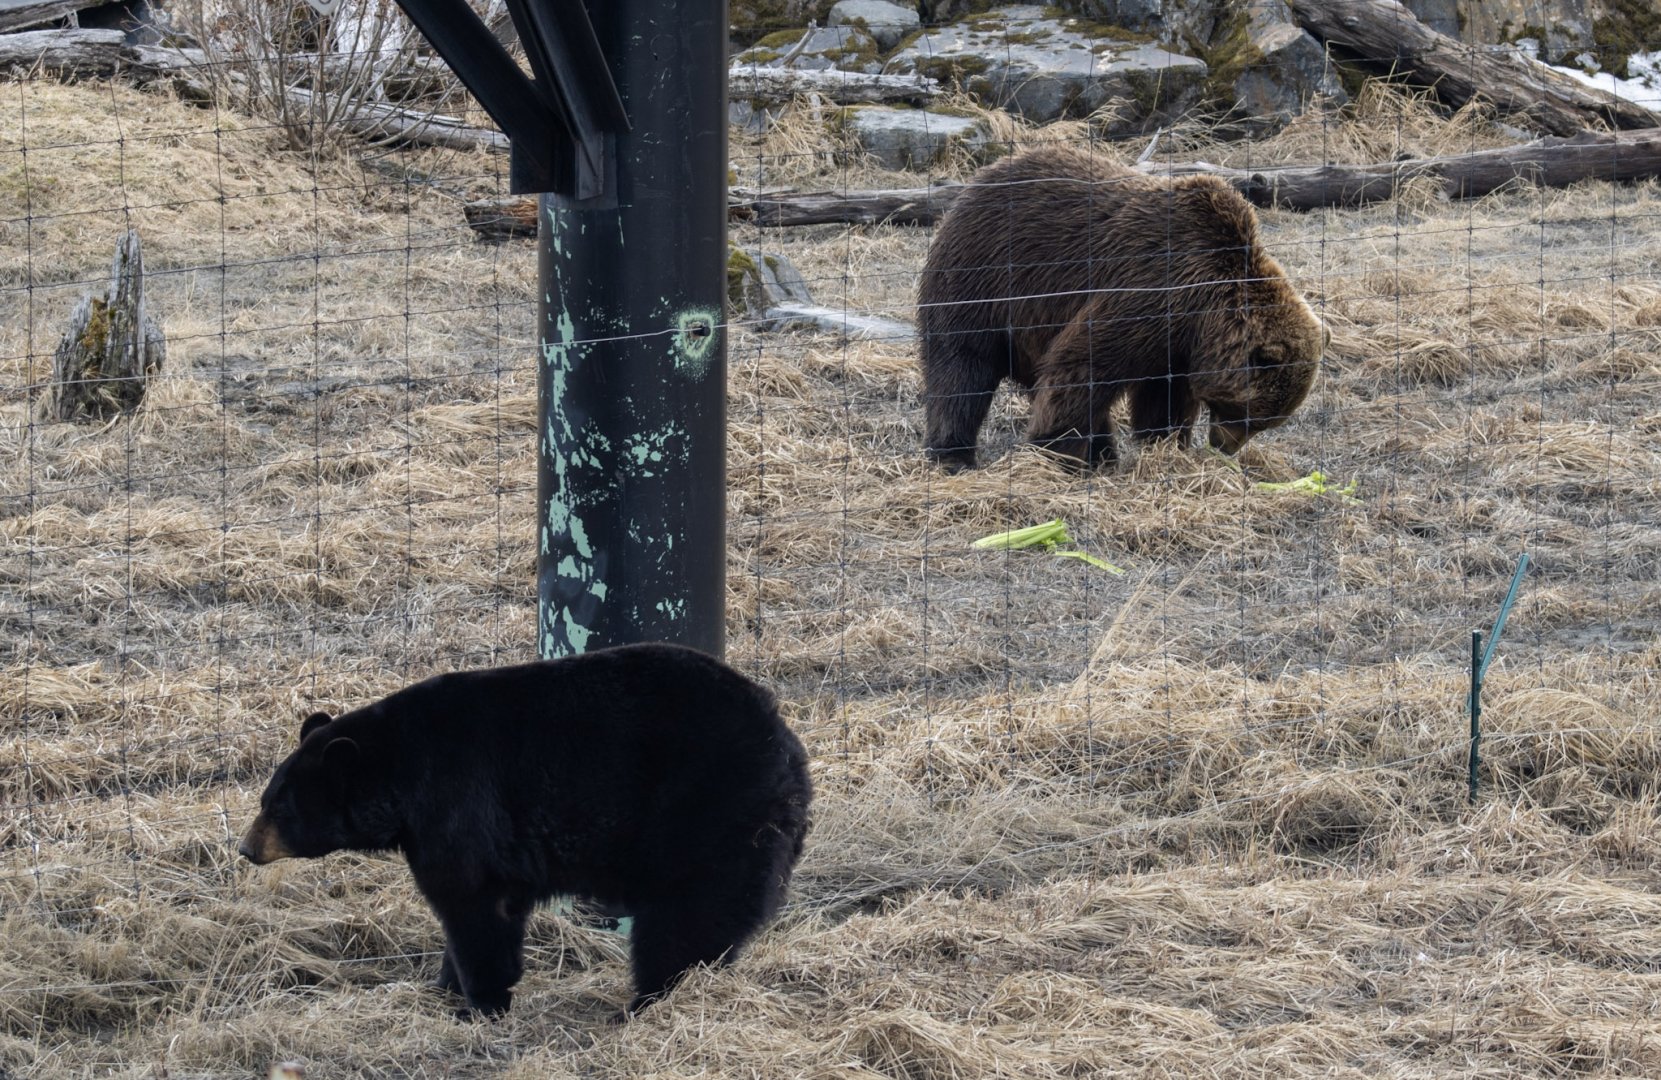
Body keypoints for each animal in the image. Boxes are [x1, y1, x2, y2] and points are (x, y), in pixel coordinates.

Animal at [238, 642, 813, 1020]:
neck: (400, 775)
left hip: (705, 813)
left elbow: (474, 906)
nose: (245, 849)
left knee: (685, 920)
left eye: (280, 809)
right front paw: (445, 987)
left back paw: (649, 1001)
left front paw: (479, 1002)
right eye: (266, 800)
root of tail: (788, 749)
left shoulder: (458, 803)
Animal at [917, 146, 1327, 471]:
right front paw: (1055, 450)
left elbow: (1163, 396)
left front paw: (1165, 443)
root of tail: (975, 183)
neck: (1204, 309)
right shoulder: (1147, 293)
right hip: (980, 281)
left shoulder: (1179, 344)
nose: (1224, 446)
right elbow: (1082, 366)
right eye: (1246, 414)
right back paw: (953, 454)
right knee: (961, 370)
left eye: (1264, 422)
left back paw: (1103, 453)